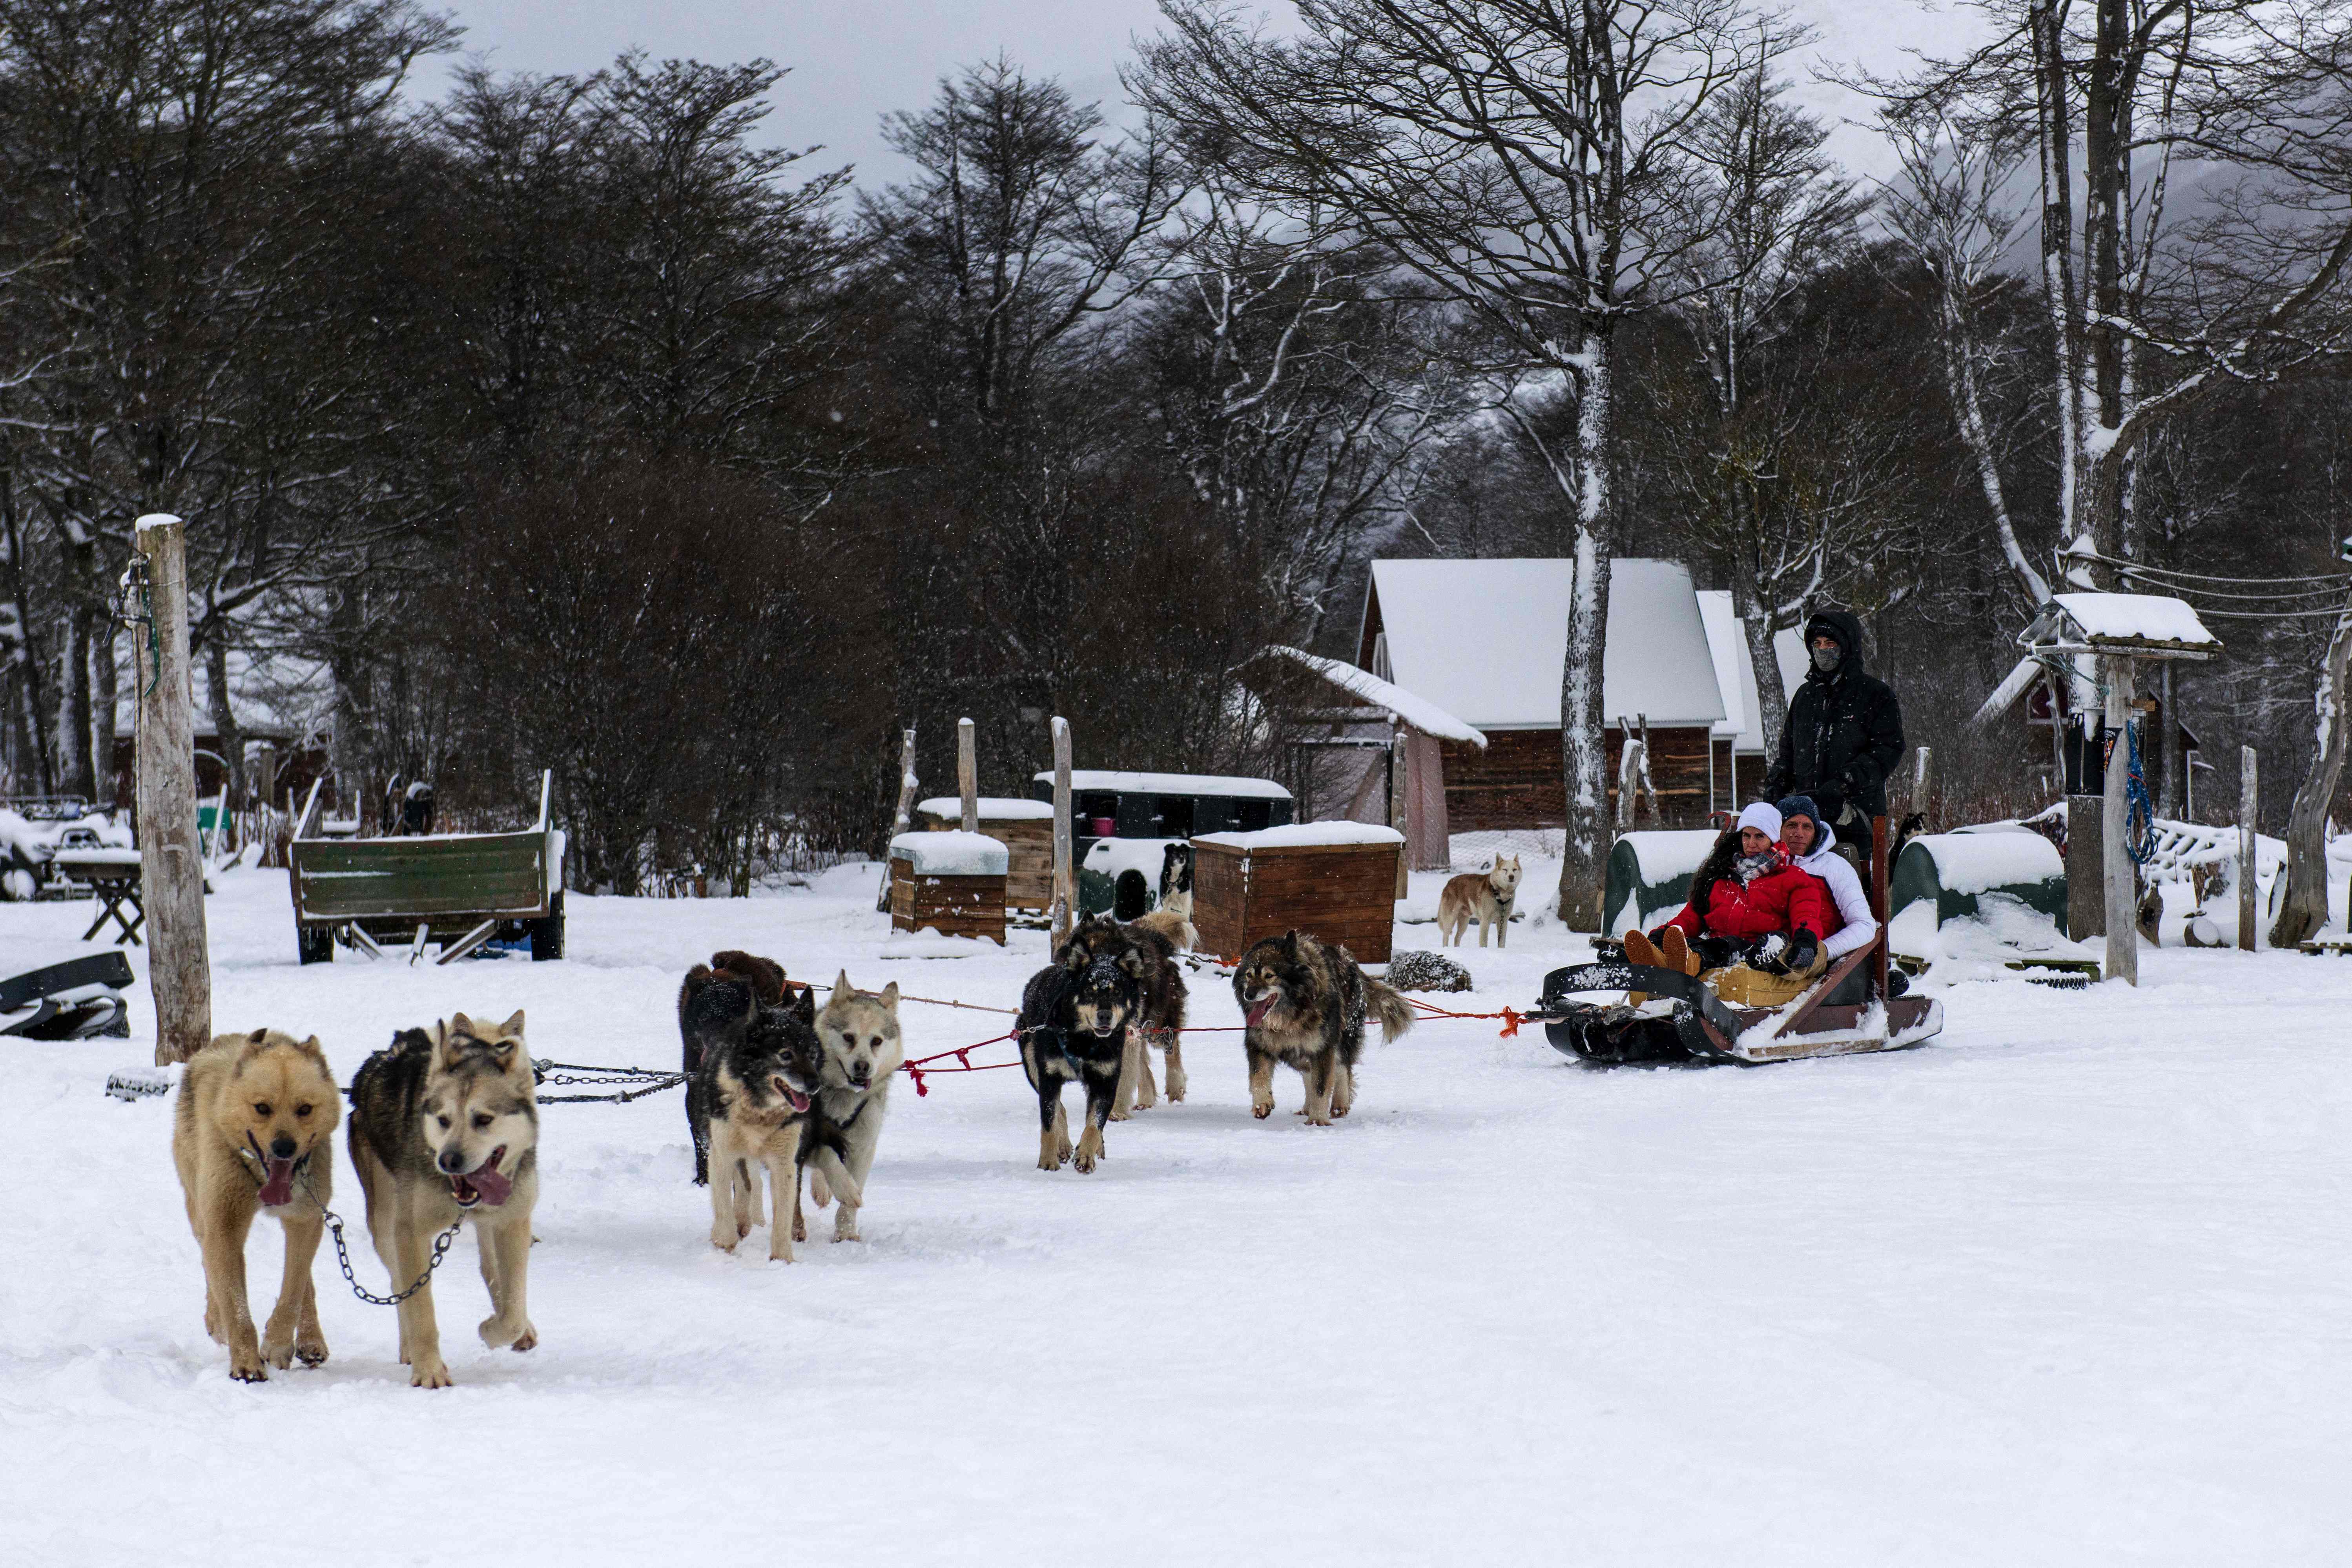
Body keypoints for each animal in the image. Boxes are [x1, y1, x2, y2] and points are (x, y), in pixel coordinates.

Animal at [346, 1011, 538, 1391]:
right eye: (443, 1120)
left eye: (484, 1119)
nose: (448, 1160)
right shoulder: (410, 1233)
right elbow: (420, 1308)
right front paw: (429, 1372)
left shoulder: (512, 1222)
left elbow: (512, 1310)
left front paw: (494, 1329)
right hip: (385, 1223)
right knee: (398, 1285)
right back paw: (408, 1349)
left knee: (490, 1271)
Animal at [1021, 940, 1148, 1171]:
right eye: (1089, 990)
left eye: (1117, 992)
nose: (1105, 1015)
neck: (1084, 1042)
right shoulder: (1049, 1078)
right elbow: (1049, 1124)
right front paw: (1047, 1163)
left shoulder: (1105, 1082)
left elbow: (1094, 1124)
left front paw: (1086, 1155)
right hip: (1032, 1066)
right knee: (1060, 1109)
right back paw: (1062, 1146)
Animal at [1232, 931, 1411, 1128]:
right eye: (1249, 975)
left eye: (1269, 975)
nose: (1248, 995)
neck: (1291, 1015)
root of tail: (1352, 963)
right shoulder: (1259, 1045)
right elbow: (1258, 1077)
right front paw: (1262, 1103)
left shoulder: (1322, 1048)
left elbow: (1321, 1086)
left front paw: (1318, 1120)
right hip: (1301, 1052)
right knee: (1308, 1073)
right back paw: (1307, 1107)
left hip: (1342, 1038)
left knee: (1342, 1068)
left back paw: (1339, 1104)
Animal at [1430, 851, 1524, 950]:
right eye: (1505, 870)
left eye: (1514, 870)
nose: (1511, 877)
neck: (1499, 894)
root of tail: (1449, 883)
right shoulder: (1485, 921)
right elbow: (1484, 943)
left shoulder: (1504, 921)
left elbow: (1501, 943)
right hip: (1450, 918)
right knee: (1446, 935)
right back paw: (1446, 948)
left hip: (1464, 921)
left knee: (1457, 938)